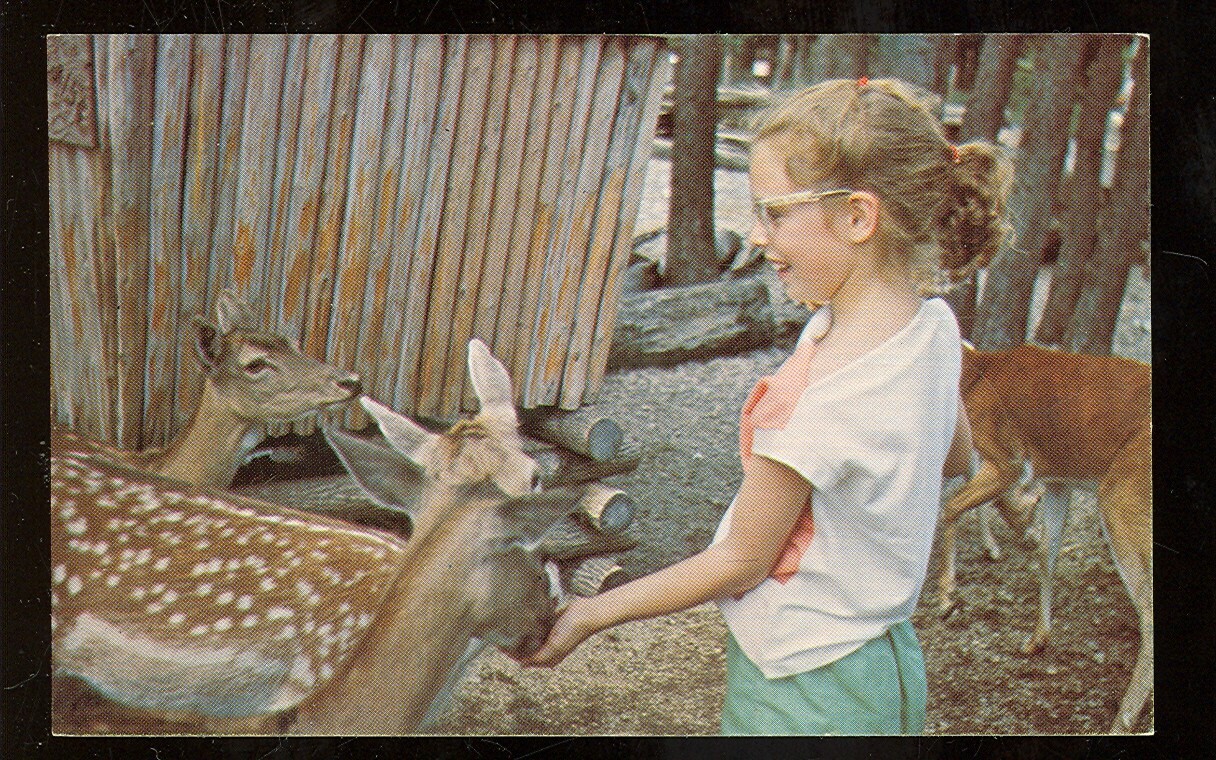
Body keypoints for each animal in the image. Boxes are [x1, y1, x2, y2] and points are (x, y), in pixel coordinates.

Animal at [935, 342, 1152, 734]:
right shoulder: (1057, 479)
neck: (973, 373)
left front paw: (946, 600)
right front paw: (1037, 640)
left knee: (1148, 610)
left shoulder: (1007, 459)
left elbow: (951, 507)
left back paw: (1122, 720)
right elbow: (1046, 556)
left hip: (1121, 497)